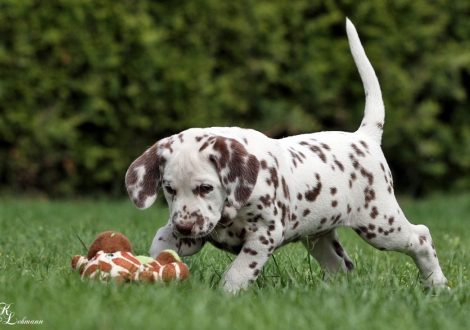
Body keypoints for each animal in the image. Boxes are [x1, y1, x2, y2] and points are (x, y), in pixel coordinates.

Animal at [125, 18, 448, 292]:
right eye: (169, 189)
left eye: (206, 188)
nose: (185, 226)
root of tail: (363, 137)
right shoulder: (193, 235)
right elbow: (161, 239)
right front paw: (154, 267)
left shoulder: (264, 235)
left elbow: (238, 273)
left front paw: (225, 297)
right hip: (319, 235)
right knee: (340, 265)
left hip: (380, 224)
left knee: (420, 237)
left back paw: (437, 285)